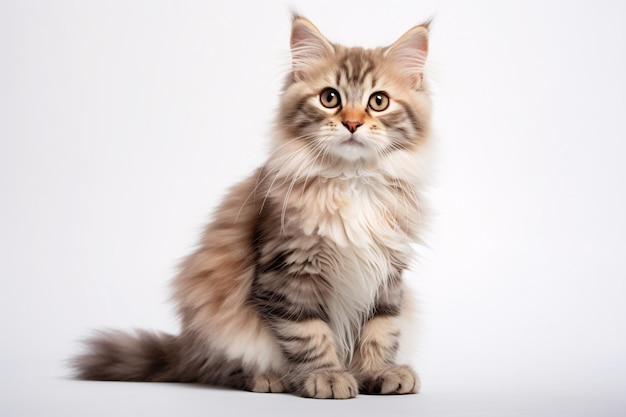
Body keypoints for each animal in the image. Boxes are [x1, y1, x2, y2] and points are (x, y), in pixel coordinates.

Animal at [73, 15, 432, 400]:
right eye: (329, 98)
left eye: (378, 101)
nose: (352, 123)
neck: (351, 180)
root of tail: (184, 347)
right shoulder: (289, 270)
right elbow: (309, 334)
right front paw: (327, 376)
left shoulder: (387, 276)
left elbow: (381, 330)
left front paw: (378, 372)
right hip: (211, 312)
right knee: (218, 367)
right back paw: (266, 379)